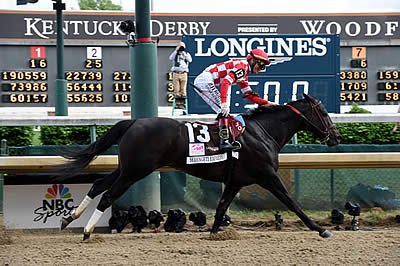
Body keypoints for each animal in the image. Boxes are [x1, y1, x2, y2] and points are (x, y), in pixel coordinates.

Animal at [57, 94, 342, 240]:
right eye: (323, 113)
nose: (336, 137)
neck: (262, 132)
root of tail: (134, 121)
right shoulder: (268, 176)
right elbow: (293, 203)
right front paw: (321, 229)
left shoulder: (236, 180)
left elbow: (222, 206)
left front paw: (214, 232)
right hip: (135, 171)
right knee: (108, 194)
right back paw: (87, 230)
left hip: (126, 168)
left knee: (98, 184)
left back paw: (69, 218)